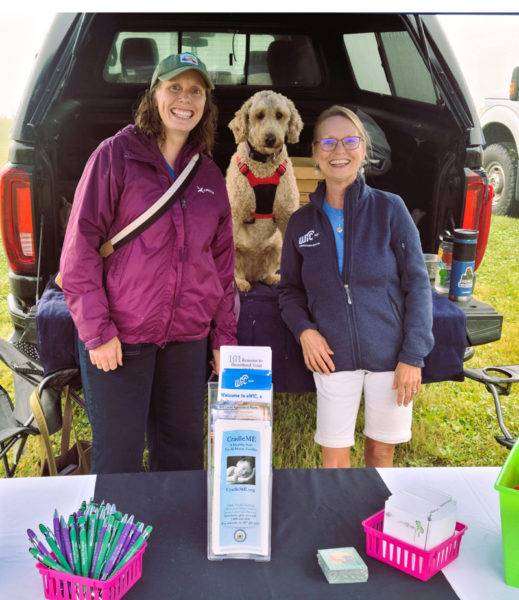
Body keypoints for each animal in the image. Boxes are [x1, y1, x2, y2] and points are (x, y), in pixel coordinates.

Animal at [225, 89, 302, 292]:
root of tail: (252, 273)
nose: (270, 138)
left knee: (266, 271)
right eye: (259, 115)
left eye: (280, 115)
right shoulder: (235, 213)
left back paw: (271, 278)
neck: (263, 165)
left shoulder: (287, 213)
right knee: (238, 271)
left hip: (276, 247)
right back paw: (240, 282)